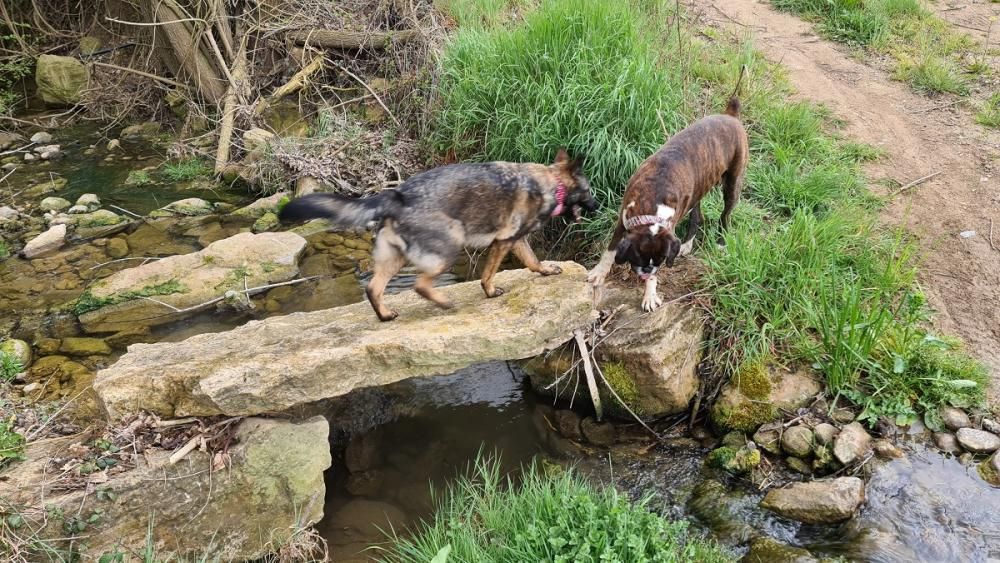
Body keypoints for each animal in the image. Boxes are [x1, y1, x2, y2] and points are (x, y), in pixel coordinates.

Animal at [278, 150, 596, 322]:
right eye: (590, 191)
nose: (598, 206)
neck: (551, 182)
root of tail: (397, 195)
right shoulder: (503, 242)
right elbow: (488, 274)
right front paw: (490, 291)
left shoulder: (515, 241)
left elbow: (532, 261)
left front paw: (546, 270)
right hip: (450, 246)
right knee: (419, 285)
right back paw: (443, 302)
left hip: (395, 259)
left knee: (373, 288)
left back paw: (385, 314)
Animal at [588, 97, 748, 308]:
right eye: (637, 257)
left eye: (661, 260)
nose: (647, 270)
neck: (654, 201)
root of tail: (731, 115)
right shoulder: (622, 221)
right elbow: (610, 250)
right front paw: (599, 273)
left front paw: (649, 294)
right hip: (700, 186)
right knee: (697, 213)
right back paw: (688, 243)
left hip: (732, 183)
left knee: (725, 215)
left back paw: (721, 243)